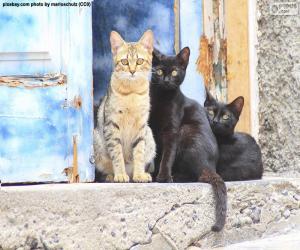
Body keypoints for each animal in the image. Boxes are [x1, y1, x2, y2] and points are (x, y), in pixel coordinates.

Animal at [93, 30, 155, 183]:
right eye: (124, 62)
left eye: (139, 61)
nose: (132, 71)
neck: (132, 92)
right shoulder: (112, 125)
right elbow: (117, 154)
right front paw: (120, 174)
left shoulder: (141, 126)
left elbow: (139, 153)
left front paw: (139, 175)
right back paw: (111, 176)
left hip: (150, 135)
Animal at [150, 47, 227, 232]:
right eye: (160, 71)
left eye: (175, 71)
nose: (166, 80)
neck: (161, 98)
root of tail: (210, 166)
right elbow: (155, 155)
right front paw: (153, 174)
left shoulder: (172, 130)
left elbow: (167, 156)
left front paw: (164, 177)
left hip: (186, 131)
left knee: (196, 176)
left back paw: (176, 176)